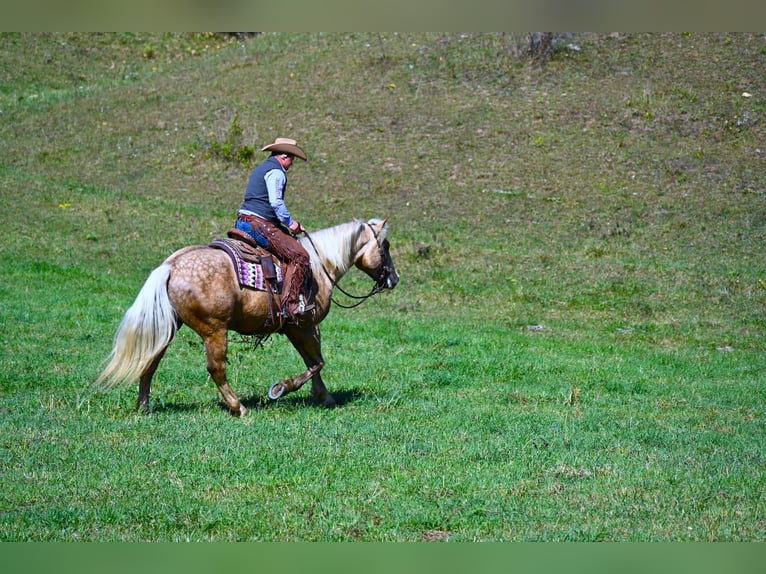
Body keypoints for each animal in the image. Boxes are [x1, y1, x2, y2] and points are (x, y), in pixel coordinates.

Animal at [96, 218, 402, 416]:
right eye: (385, 246)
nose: (394, 279)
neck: (319, 265)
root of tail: (171, 265)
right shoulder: (304, 325)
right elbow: (317, 361)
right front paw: (281, 388)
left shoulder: (296, 328)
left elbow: (313, 360)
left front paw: (323, 397)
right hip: (214, 331)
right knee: (216, 368)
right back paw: (238, 407)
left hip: (172, 326)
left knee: (150, 360)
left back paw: (144, 407)